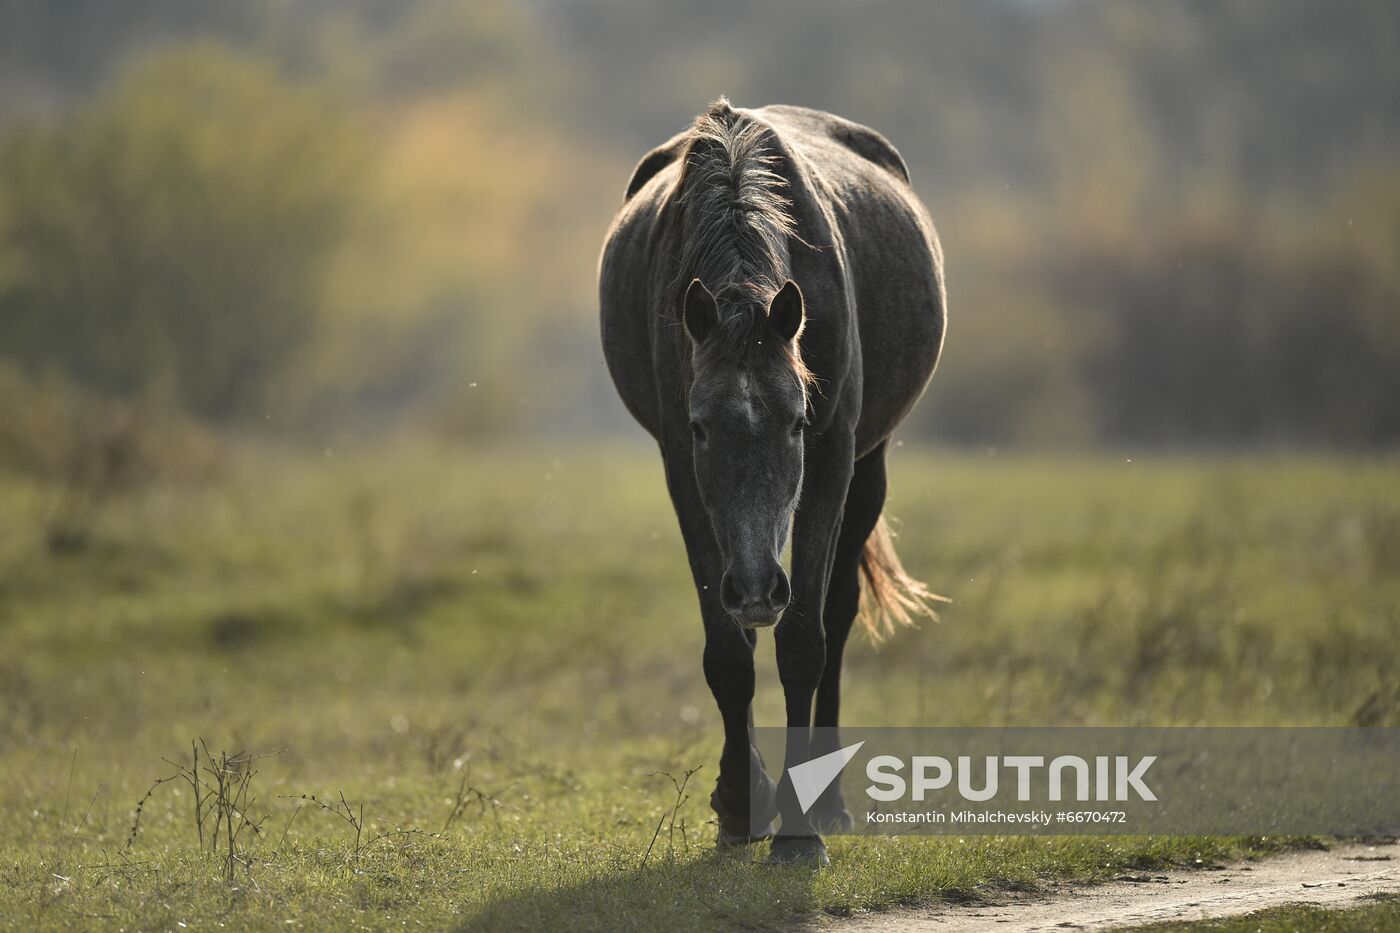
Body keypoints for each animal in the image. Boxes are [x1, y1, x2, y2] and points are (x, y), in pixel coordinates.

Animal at [596, 98, 946, 862]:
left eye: (796, 422)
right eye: (701, 427)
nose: (757, 589)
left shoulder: (833, 454)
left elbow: (805, 641)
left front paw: (800, 830)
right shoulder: (680, 468)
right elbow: (730, 653)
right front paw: (737, 803)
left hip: (868, 469)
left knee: (839, 613)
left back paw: (832, 802)